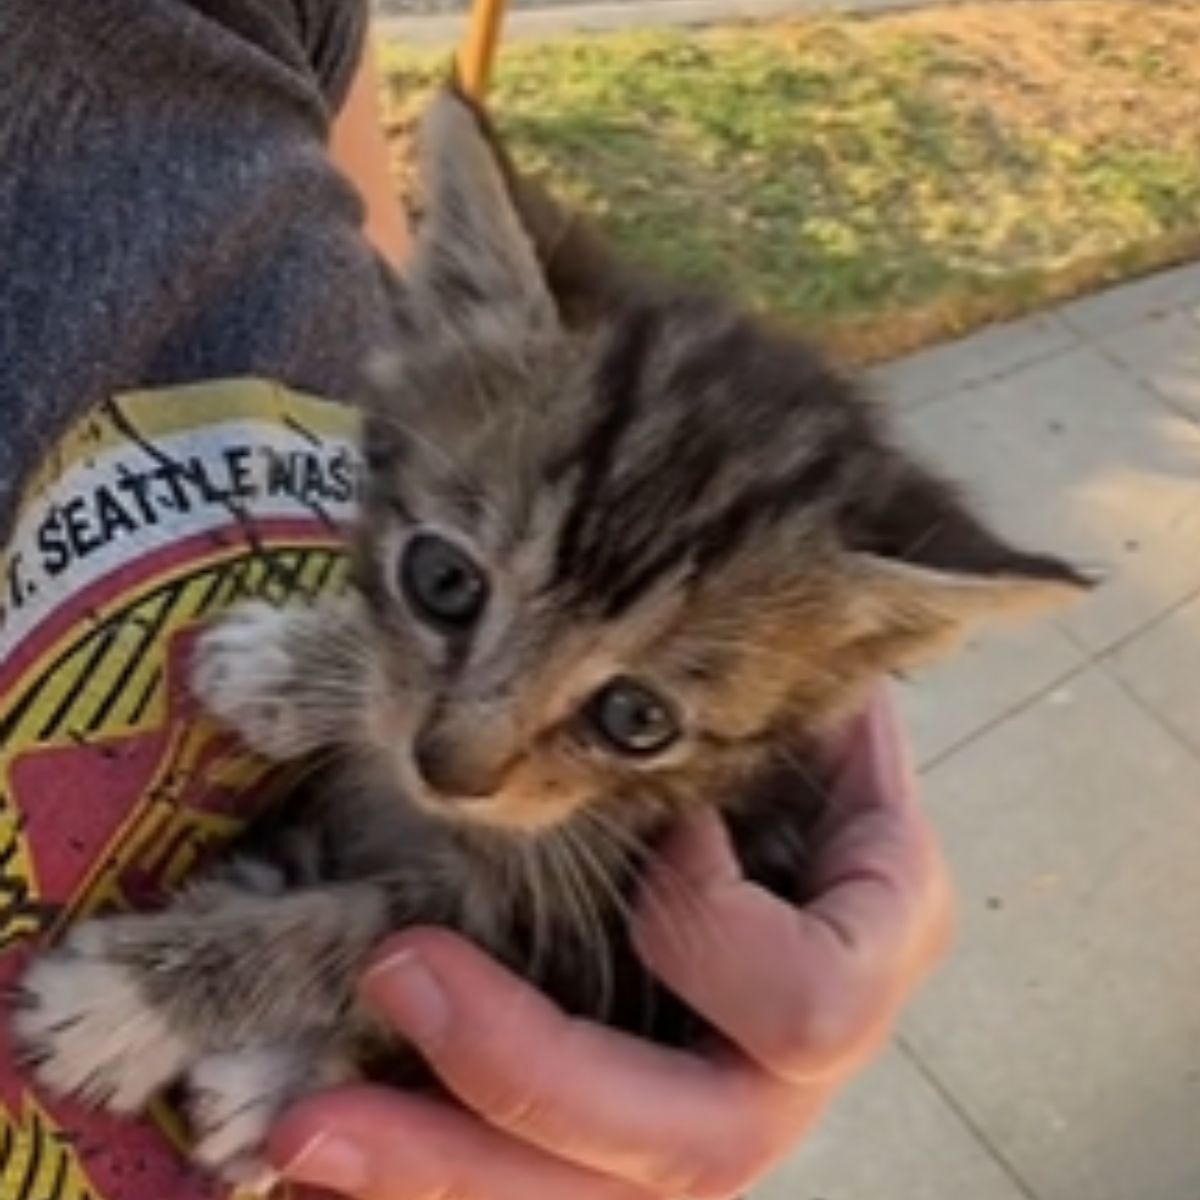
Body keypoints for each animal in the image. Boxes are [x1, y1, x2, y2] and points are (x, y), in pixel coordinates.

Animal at [9, 88, 1094, 1185]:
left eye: (636, 718)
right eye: (443, 582)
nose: (448, 768)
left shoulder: (581, 936)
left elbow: (373, 929)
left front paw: (137, 1000)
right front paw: (296, 669)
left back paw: (268, 1082)